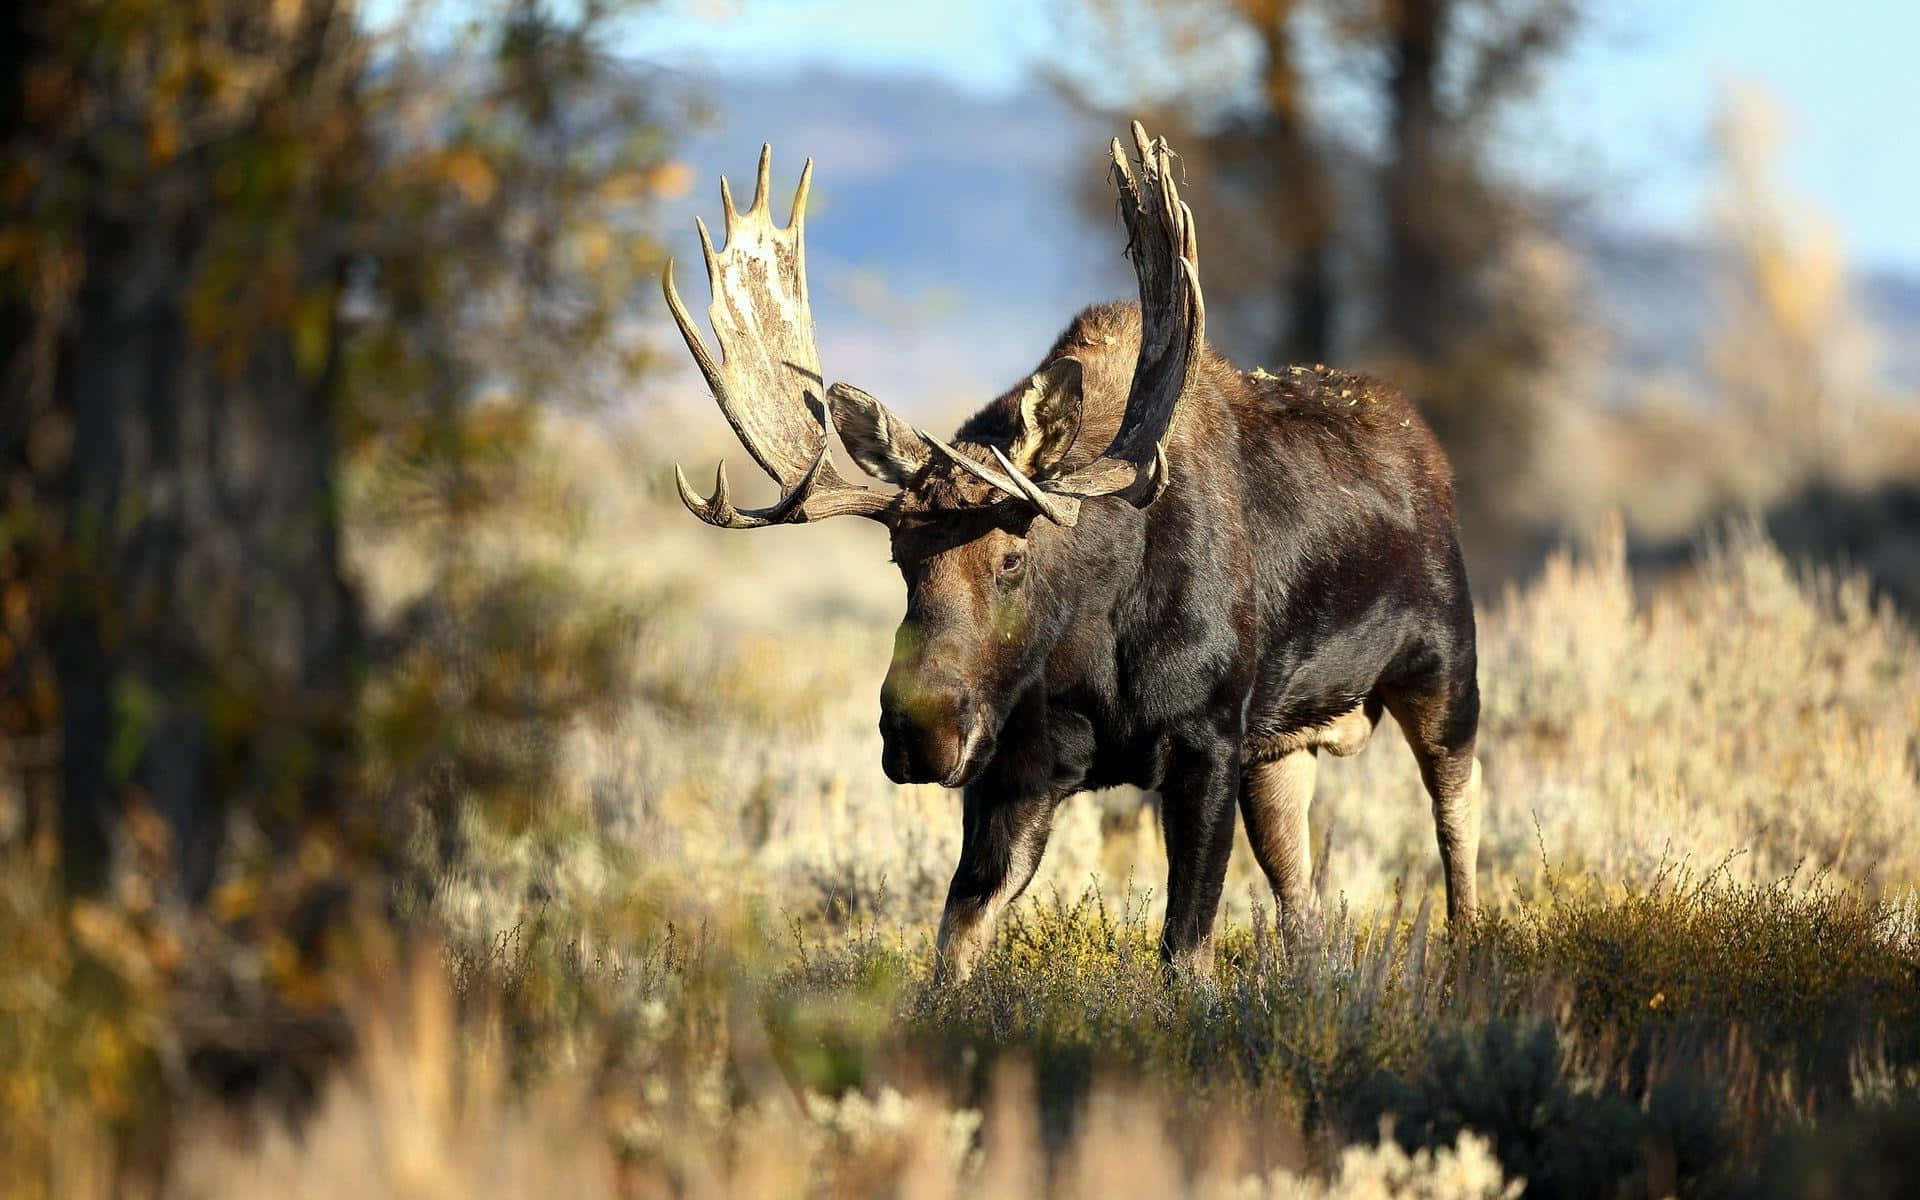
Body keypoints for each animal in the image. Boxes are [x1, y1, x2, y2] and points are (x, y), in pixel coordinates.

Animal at [664, 123, 1482, 983]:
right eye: (900, 561)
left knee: (1458, 815)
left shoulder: (1209, 739)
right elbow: (956, 942)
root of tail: (1426, 447)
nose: (918, 728)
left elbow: (1185, 950)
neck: (1097, 652)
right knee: (1301, 889)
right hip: (1285, 742)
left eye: (1013, 560)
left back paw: (1470, 949)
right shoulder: (1018, 769)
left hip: (1444, 670)